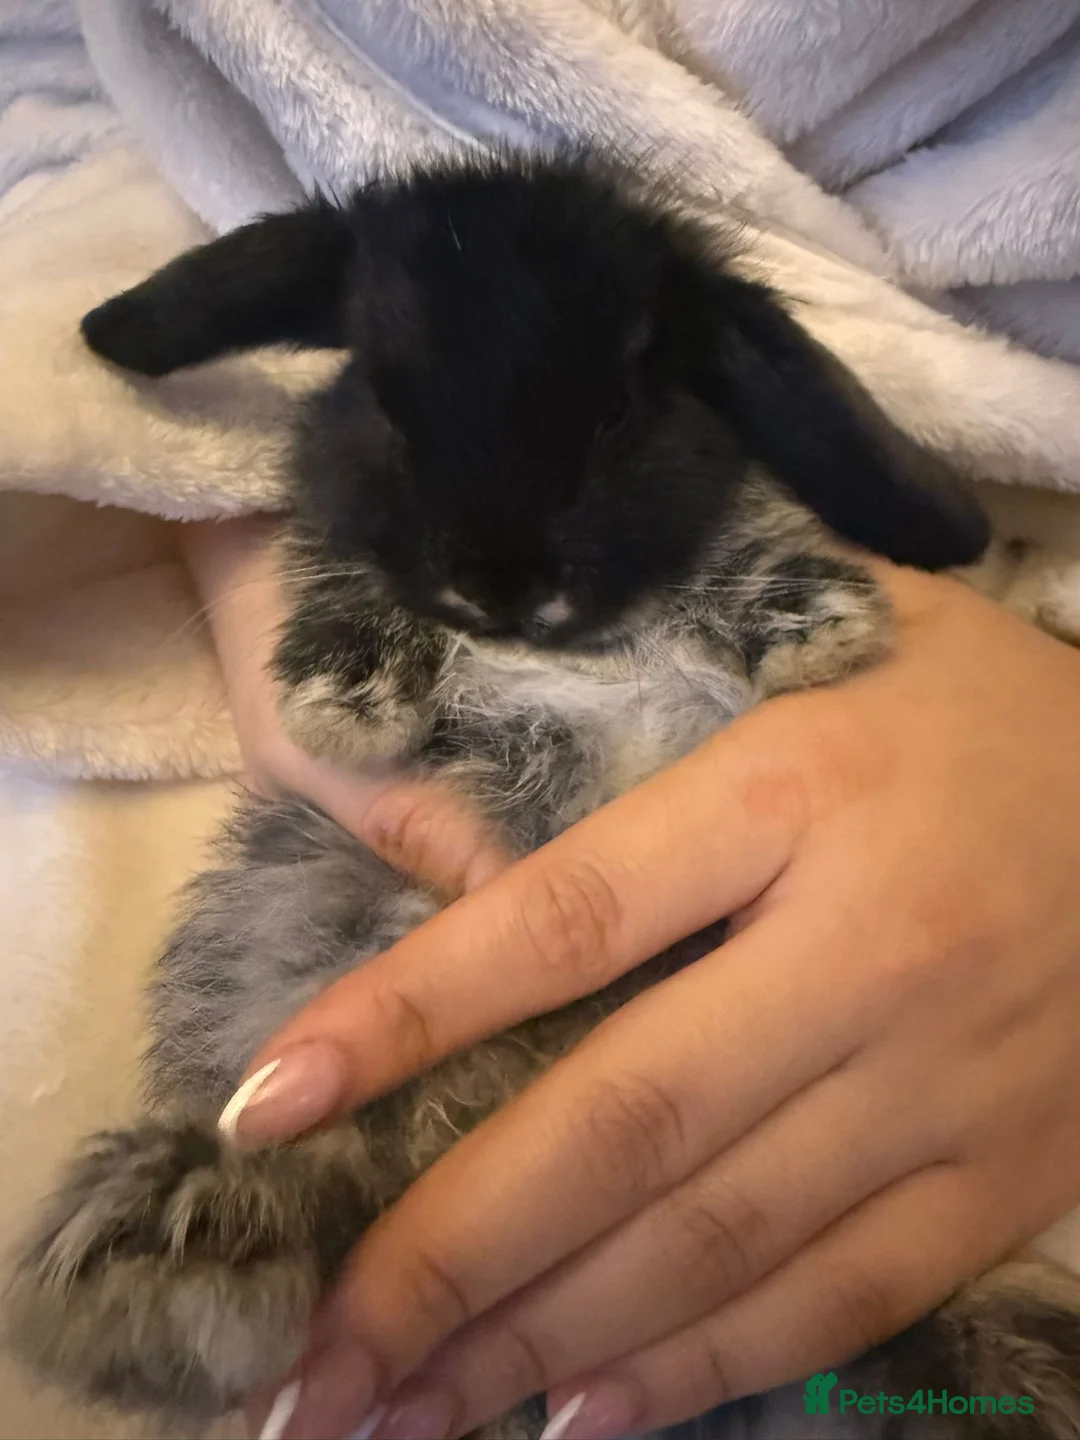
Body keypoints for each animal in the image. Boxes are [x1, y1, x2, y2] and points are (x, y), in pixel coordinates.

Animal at [7, 148, 1079, 1440]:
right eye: (384, 399)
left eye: (619, 406)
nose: (500, 583)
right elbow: (345, 572)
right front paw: (345, 694)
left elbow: (747, 549)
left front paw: (824, 626)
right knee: (355, 1174)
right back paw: (180, 1247)